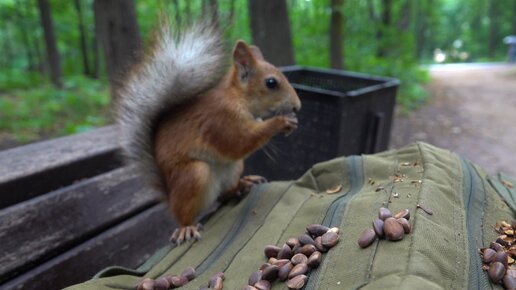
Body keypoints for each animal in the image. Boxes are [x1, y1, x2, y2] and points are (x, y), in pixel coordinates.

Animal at [116, 22, 302, 245]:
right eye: (271, 83)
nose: (298, 106)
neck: (237, 98)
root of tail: (170, 196)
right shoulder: (220, 122)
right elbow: (240, 141)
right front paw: (281, 122)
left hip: (233, 168)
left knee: (225, 194)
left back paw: (243, 183)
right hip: (195, 174)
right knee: (185, 213)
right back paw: (186, 227)